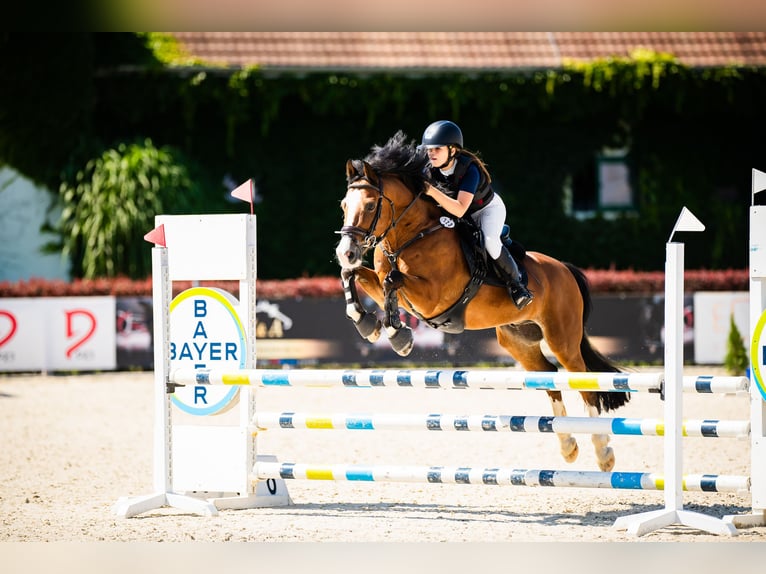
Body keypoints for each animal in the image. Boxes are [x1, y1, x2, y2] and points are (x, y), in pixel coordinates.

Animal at [334, 133, 632, 474]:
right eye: (344, 205)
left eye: (371, 205)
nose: (346, 251)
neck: (412, 235)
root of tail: (565, 269)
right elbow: (353, 274)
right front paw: (366, 323)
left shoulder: (433, 297)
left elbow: (391, 282)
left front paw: (399, 336)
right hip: (518, 341)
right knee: (549, 377)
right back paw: (568, 446)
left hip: (562, 340)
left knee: (584, 383)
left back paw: (603, 451)